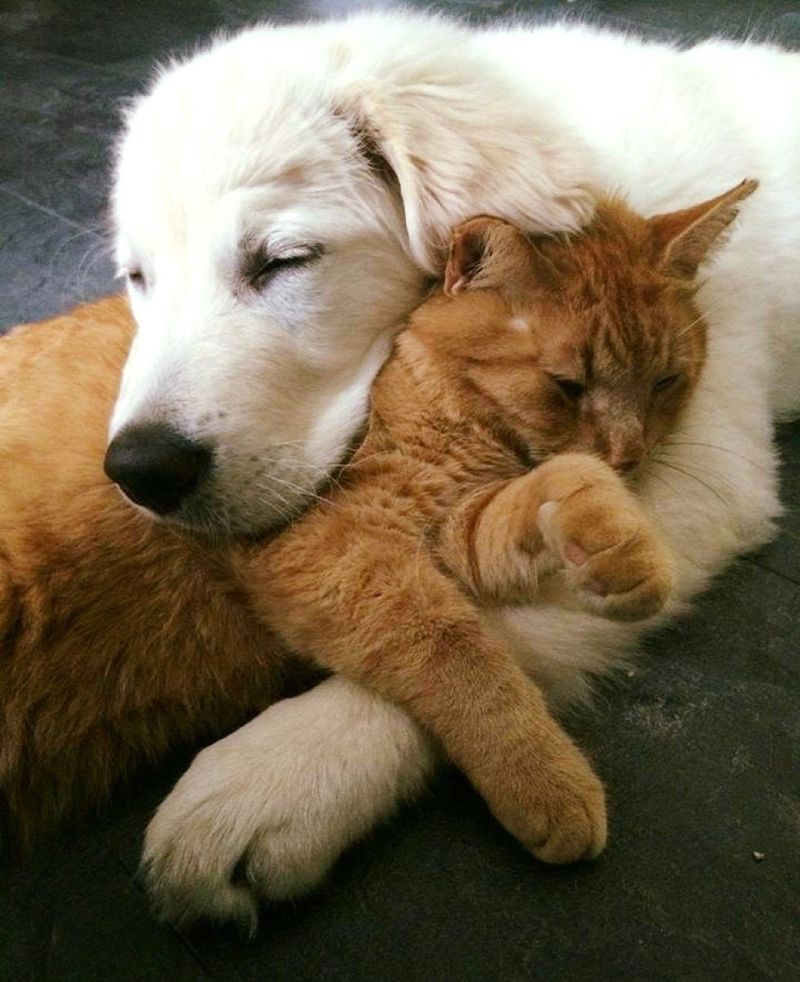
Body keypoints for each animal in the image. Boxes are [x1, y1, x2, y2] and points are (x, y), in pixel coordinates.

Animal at [242, 181, 756, 864]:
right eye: (566, 385)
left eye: (666, 381)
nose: (628, 456)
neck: (460, 418)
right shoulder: (333, 541)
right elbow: (458, 652)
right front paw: (541, 775)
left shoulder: (452, 527)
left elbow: (541, 496)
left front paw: (611, 538)